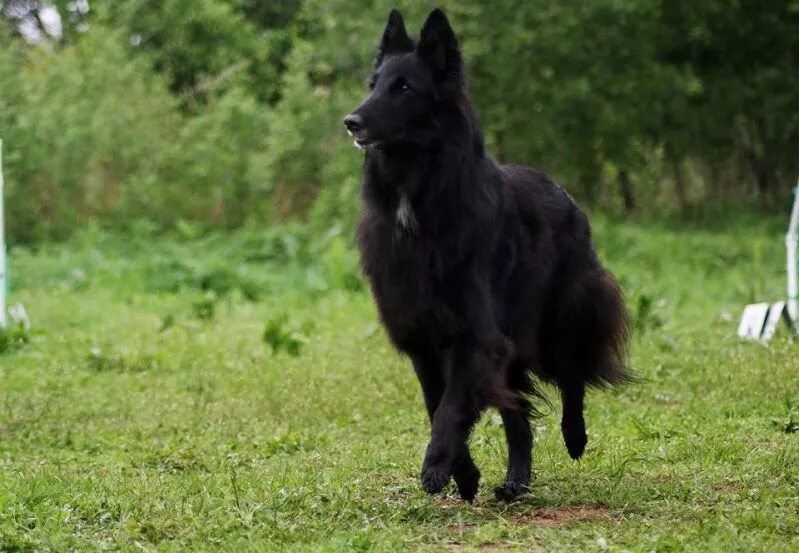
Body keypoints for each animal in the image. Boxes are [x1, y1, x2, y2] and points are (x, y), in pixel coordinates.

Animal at [346, 7, 632, 500]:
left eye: (404, 88)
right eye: (373, 83)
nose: (351, 121)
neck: (419, 197)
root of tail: (563, 192)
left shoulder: (474, 335)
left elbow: (450, 408)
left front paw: (437, 467)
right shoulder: (426, 338)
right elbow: (438, 404)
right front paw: (464, 474)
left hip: (562, 314)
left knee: (572, 372)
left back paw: (574, 435)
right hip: (514, 342)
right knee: (518, 417)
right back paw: (516, 480)